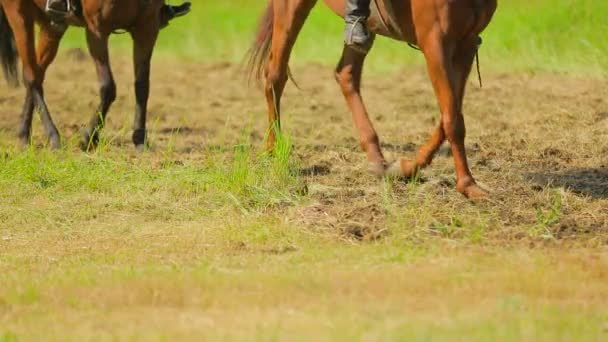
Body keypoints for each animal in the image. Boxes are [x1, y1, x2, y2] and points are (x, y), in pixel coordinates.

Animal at [0, 0, 166, 150]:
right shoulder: (97, 30)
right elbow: (108, 87)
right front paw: (89, 138)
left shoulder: (147, 28)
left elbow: (142, 87)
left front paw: (140, 140)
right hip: (18, 13)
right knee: (31, 77)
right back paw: (53, 137)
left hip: (51, 25)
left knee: (37, 74)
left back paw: (24, 135)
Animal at [248, 0, 498, 198]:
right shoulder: (435, 44)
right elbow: (453, 121)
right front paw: (468, 185)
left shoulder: (466, 44)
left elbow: (449, 115)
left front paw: (406, 168)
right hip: (290, 8)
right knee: (275, 77)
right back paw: (272, 151)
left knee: (346, 74)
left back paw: (376, 158)